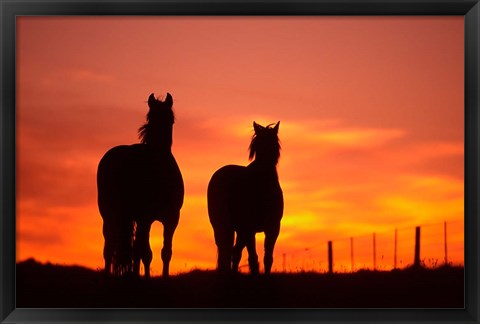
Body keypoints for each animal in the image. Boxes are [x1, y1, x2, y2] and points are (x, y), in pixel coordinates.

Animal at [96, 92, 183, 278]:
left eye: (170, 119)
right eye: (151, 118)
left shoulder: (170, 218)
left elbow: (165, 252)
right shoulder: (147, 217)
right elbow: (145, 252)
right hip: (112, 215)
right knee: (112, 248)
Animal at [208, 123, 284, 274]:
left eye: (274, 143)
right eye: (258, 145)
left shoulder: (272, 228)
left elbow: (267, 258)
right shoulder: (251, 228)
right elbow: (254, 258)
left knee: (233, 252)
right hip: (227, 227)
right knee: (229, 253)